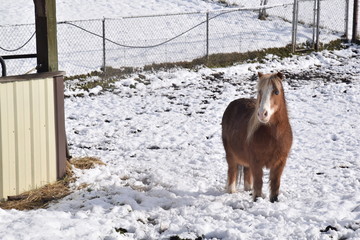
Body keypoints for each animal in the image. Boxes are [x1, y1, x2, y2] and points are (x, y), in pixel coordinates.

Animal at [222, 71, 292, 202]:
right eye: (260, 91)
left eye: (276, 92)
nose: (262, 114)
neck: (274, 137)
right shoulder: (256, 162)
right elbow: (258, 184)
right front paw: (257, 200)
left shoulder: (280, 162)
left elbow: (275, 184)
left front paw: (273, 201)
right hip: (230, 154)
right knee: (232, 170)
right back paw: (231, 191)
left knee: (246, 171)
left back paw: (248, 189)